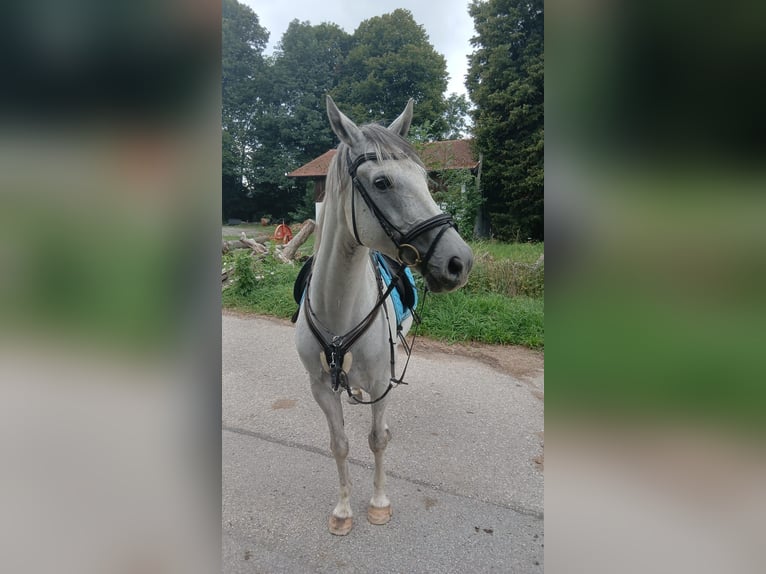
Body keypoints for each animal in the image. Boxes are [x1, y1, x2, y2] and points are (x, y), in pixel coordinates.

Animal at [294, 95, 474, 535]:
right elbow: (339, 443)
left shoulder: (380, 383)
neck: (339, 308)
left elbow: (377, 440)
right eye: (382, 183)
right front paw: (343, 510)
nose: (459, 262)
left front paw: (378, 503)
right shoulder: (320, 388)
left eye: (425, 178)